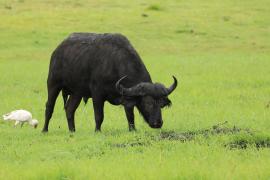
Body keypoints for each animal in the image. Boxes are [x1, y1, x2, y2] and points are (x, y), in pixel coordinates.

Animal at [42, 33, 177, 132]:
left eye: (161, 104)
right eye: (148, 103)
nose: (158, 123)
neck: (115, 64)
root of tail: (58, 50)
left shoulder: (127, 97)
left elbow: (130, 116)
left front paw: (132, 130)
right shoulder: (97, 94)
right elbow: (99, 115)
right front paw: (97, 131)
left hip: (77, 92)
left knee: (70, 109)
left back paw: (72, 131)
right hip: (53, 84)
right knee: (49, 107)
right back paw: (44, 130)